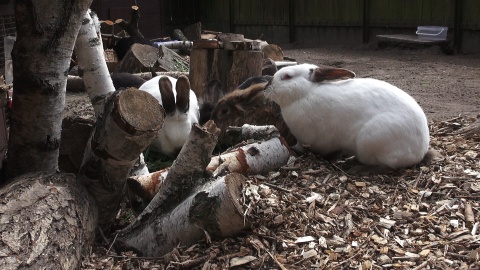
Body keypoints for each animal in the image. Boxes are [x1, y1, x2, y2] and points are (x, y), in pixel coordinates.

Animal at [264, 63, 430, 171]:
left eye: (287, 76)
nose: (266, 87)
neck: (306, 93)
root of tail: (421, 150)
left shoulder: (314, 140)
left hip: (370, 141)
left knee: (384, 167)